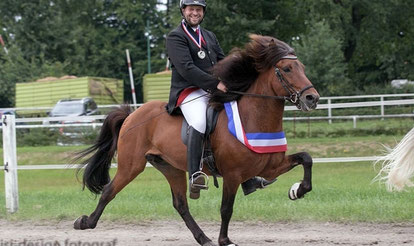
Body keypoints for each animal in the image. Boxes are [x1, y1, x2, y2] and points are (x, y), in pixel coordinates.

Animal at [73, 34, 320, 246]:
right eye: (287, 68)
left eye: (302, 68)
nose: (312, 98)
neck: (254, 118)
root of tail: (132, 114)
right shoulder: (232, 175)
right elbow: (226, 208)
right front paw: (225, 240)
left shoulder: (270, 167)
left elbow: (306, 158)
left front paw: (298, 190)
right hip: (131, 165)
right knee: (109, 191)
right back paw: (85, 222)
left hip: (170, 167)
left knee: (180, 204)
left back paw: (203, 238)